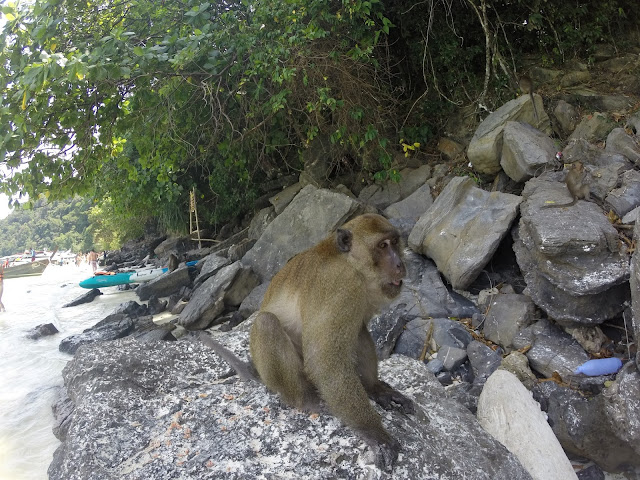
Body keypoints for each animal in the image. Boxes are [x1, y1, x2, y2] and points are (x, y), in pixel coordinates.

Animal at [196, 214, 416, 468]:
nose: (400, 264)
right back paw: (304, 399)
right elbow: (325, 362)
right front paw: (374, 432)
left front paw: (376, 389)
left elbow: (357, 331)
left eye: (395, 242)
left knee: (356, 331)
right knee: (266, 324)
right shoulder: (339, 286)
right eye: (382, 246)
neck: (351, 264)